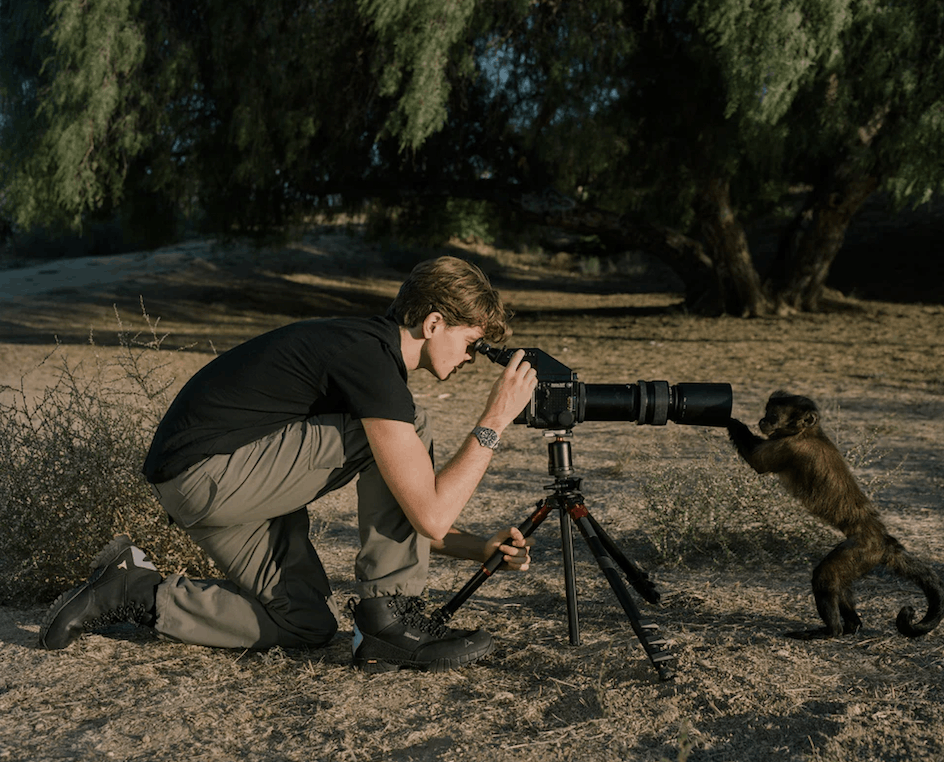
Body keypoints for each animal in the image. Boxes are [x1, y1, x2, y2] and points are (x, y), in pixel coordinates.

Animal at [728, 388, 940, 640]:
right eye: (767, 411)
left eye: (774, 415)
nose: (762, 421)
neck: (808, 433)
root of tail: (883, 538)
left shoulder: (788, 446)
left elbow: (757, 463)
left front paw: (730, 421)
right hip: (861, 557)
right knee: (840, 582)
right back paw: (852, 625)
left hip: (863, 550)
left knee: (825, 576)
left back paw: (832, 631)